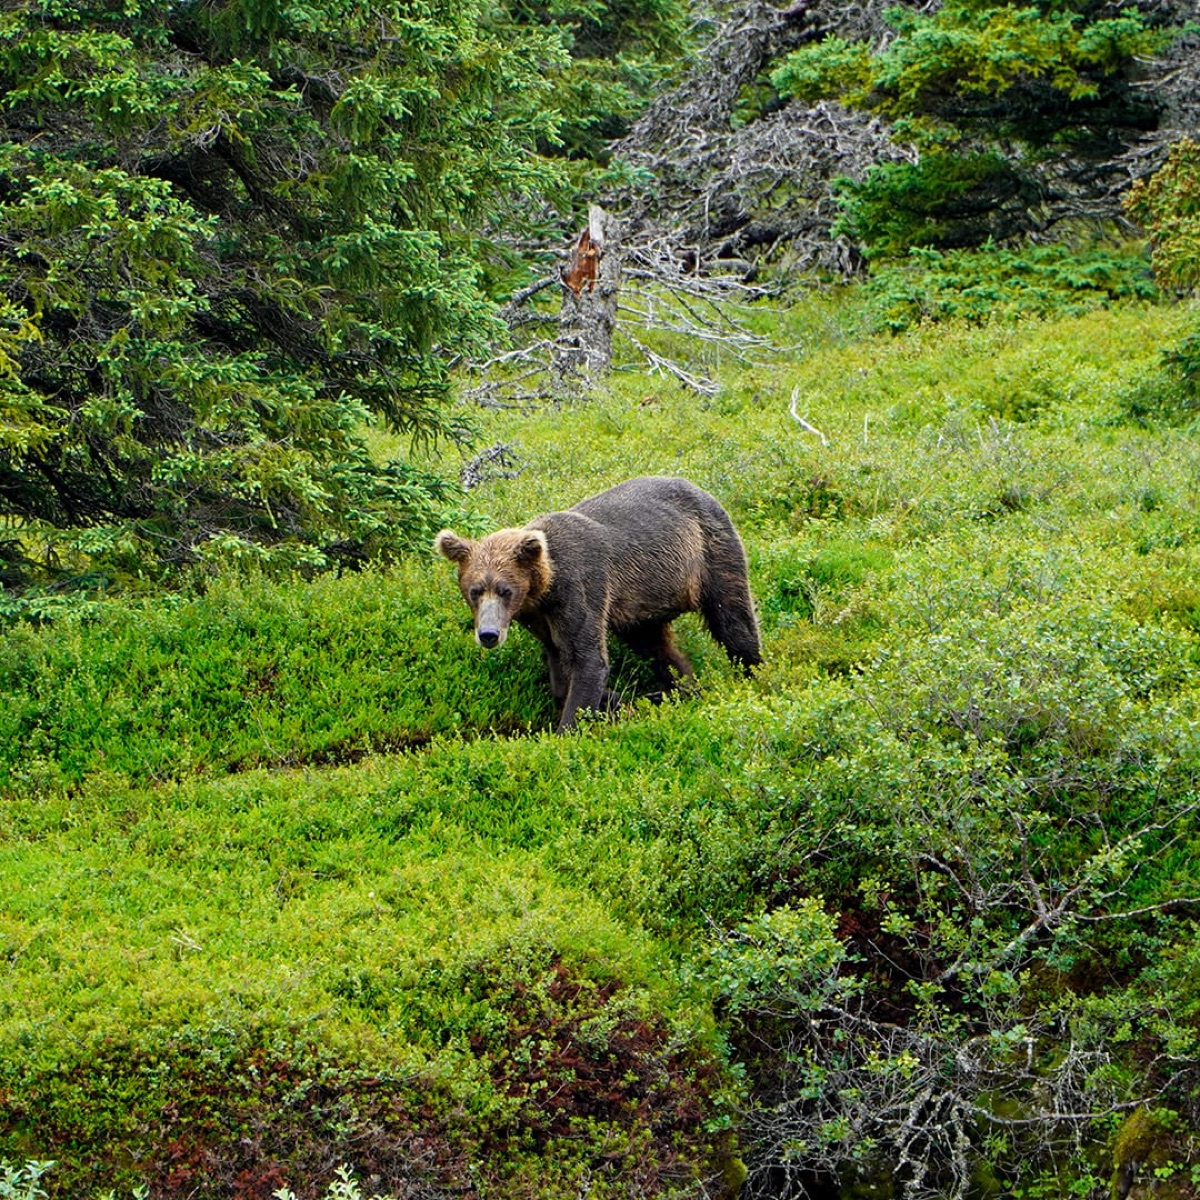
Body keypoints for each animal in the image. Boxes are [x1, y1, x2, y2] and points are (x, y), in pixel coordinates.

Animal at [434, 475, 761, 732]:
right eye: (475, 590)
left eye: (505, 590)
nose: (488, 634)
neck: (544, 587)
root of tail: (700, 488)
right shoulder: (539, 617)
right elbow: (559, 664)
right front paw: (616, 697)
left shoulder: (579, 589)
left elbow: (588, 659)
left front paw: (568, 728)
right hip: (642, 600)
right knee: (653, 644)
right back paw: (681, 684)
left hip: (710, 552)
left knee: (732, 619)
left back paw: (751, 673)